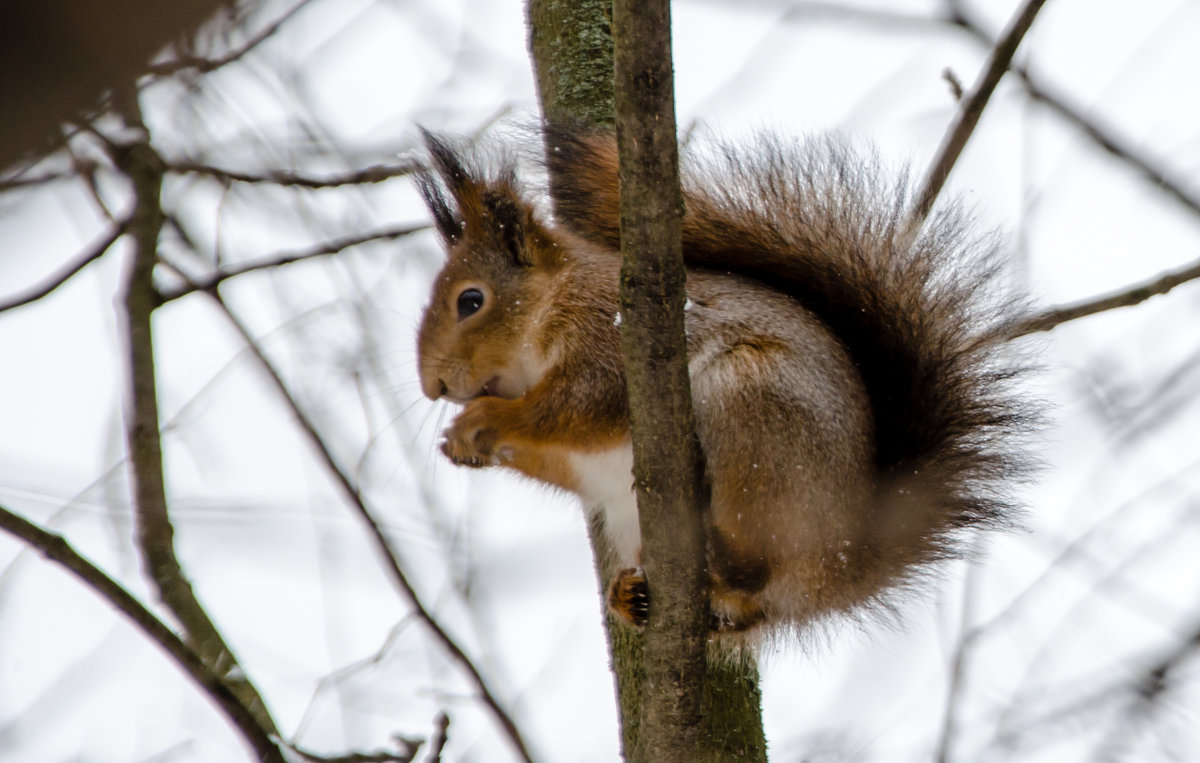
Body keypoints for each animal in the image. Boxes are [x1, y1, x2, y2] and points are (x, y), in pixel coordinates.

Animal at [412, 126, 1032, 638]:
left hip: (753, 411)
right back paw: (631, 596)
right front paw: (462, 442)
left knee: (755, 571)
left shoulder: (610, 339)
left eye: (472, 301)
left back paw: (718, 560)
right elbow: (558, 454)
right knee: (748, 611)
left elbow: (580, 405)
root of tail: (844, 561)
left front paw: (484, 420)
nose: (432, 387)